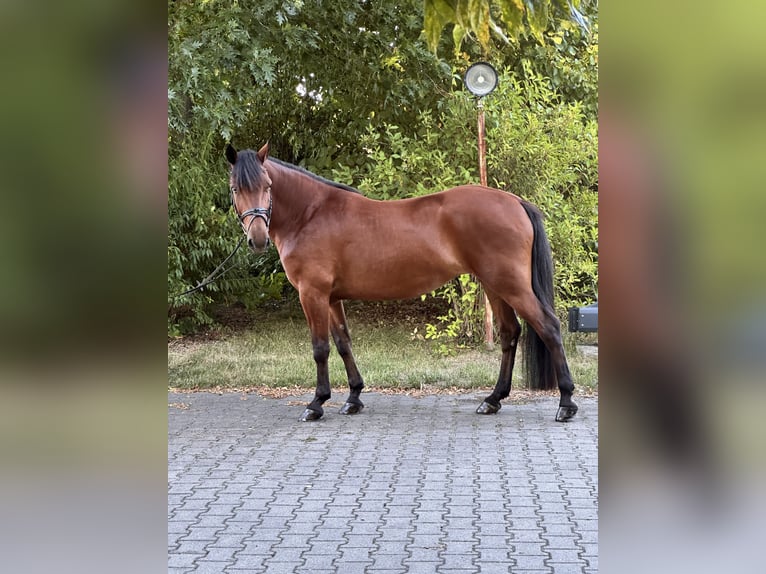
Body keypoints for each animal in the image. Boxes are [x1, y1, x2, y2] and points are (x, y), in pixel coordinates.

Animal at [225, 143, 578, 423]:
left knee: (549, 327)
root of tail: (515, 202)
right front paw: (353, 398)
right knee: (509, 333)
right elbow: (343, 343)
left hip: (511, 285)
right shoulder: (332, 297)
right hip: (495, 285)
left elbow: (320, 348)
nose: (257, 238)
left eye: (267, 185)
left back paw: (566, 403)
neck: (310, 214)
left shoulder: (312, 294)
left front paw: (316, 403)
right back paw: (492, 400)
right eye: (235, 189)